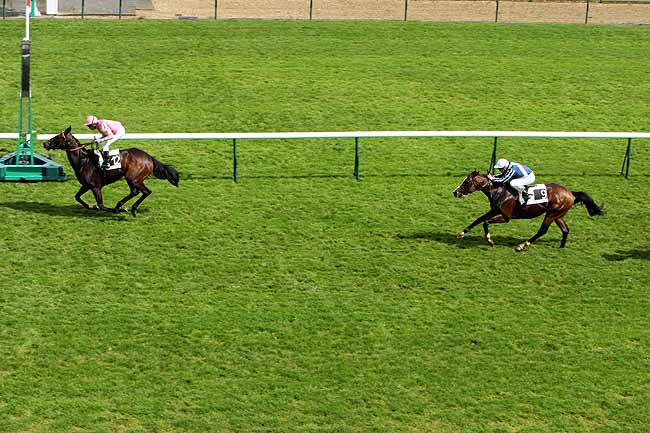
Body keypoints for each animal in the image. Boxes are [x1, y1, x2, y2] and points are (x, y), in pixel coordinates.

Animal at [43, 127, 177, 216]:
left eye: (58, 137)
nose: (45, 143)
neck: (83, 160)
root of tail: (149, 158)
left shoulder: (95, 187)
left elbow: (101, 205)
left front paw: (118, 210)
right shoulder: (86, 185)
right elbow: (77, 197)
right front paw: (90, 206)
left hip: (133, 178)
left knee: (146, 192)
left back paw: (130, 208)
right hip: (131, 178)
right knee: (135, 192)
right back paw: (121, 205)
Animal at [450, 169, 604, 250]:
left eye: (467, 182)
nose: (455, 192)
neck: (499, 191)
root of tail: (571, 193)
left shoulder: (506, 216)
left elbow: (485, 222)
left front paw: (490, 240)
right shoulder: (494, 210)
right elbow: (478, 219)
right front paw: (461, 234)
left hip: (551, 214)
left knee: (543, 230)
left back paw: (522, 245)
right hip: (558, 214)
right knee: (565, 229)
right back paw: (561, 247)